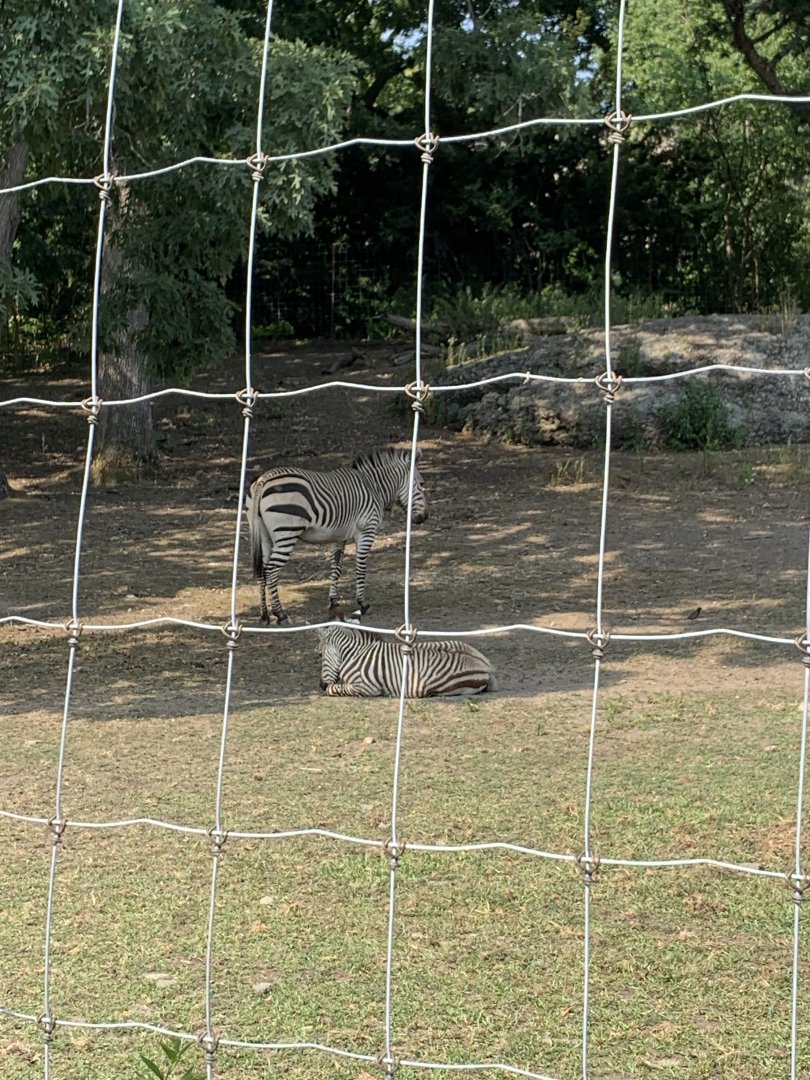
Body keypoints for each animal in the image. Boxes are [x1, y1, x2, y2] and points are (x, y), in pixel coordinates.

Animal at [245, 448, 427, 625]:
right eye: (421, 484)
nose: (424, 517)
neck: (374, 487)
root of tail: (262, 480)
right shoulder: (366, 531)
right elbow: (361, 567)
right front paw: (363, 604)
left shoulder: (339, 537)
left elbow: (336, 568)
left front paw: (333, 602)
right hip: (287, 533)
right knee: (271, 570)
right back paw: (280, 614)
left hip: (264, 535)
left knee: (262, 569)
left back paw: (264, 615)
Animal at [317, 612, 497, 697]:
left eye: (319, 655)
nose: (320, 684)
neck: (355, 654)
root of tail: (485, 667)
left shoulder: (367, 687)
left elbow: (332, 689)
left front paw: (328, 688)